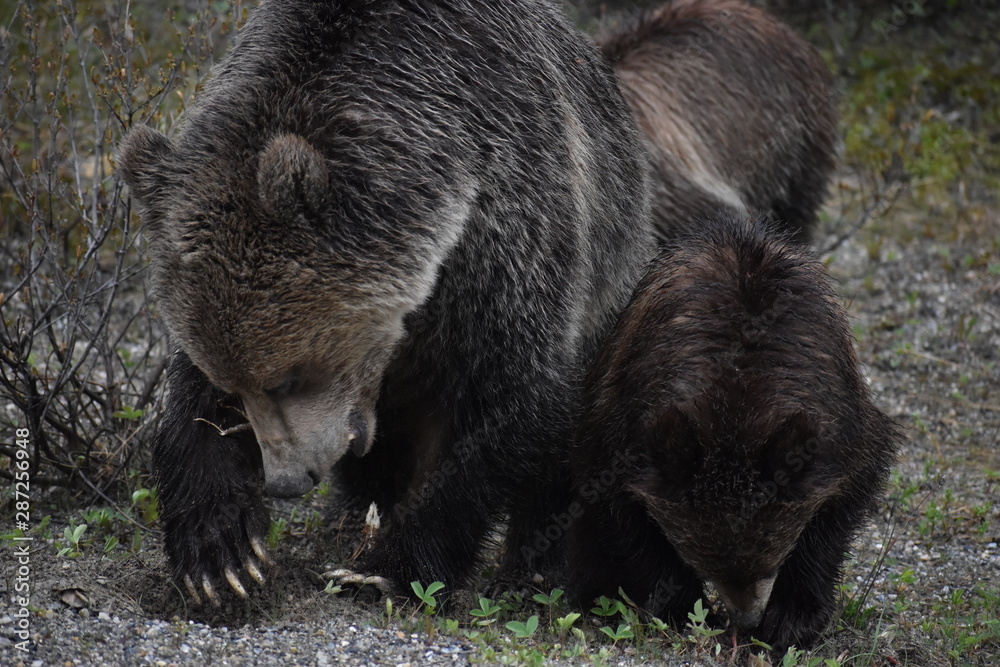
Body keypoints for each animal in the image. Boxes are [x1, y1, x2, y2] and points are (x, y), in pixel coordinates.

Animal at [116, 0, 653, 604]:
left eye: (290, 378)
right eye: (238, 384)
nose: (285, 480)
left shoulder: (509, 224)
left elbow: (508, 395)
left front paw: (388, 565)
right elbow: (190, 401)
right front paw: (220, 550)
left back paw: (536, 564)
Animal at [566, 213, 899, 650]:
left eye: (768, 560)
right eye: (707, 562)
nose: (747, 618)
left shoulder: (842, 425)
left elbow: (838, 507)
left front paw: (792, 616)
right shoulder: (622, 428)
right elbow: (622, 515)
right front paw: (680, 605)